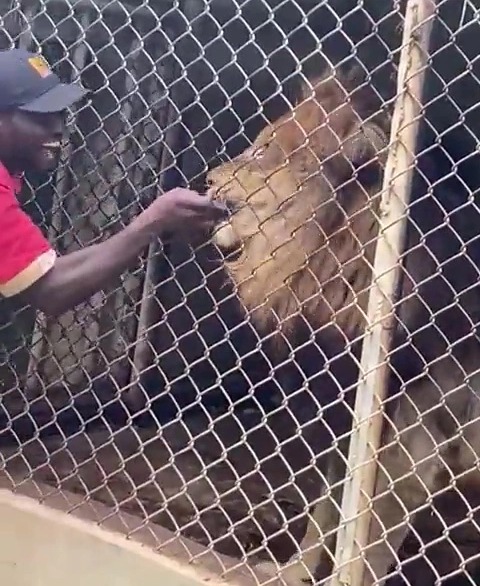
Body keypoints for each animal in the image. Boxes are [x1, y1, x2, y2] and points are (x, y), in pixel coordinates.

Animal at [205, 66, 480, 580]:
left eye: (263, 149)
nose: (208, 179)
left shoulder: (413, 448)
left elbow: (369, 546)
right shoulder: (351, 416)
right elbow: (329, 510)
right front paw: (291, 573)